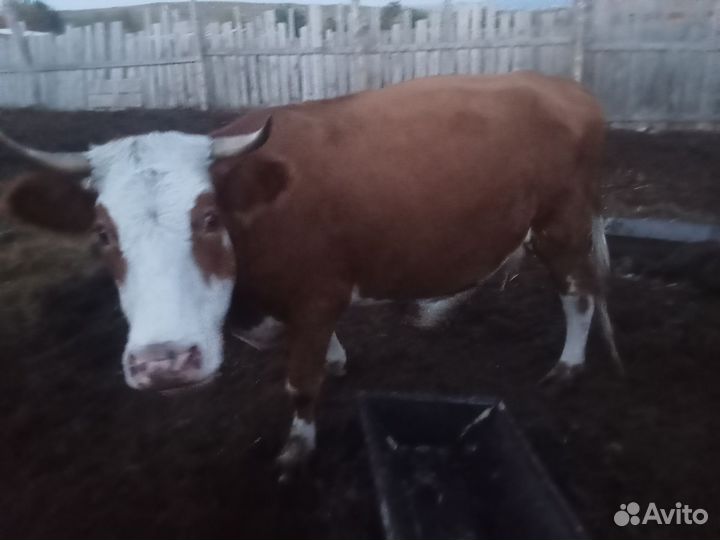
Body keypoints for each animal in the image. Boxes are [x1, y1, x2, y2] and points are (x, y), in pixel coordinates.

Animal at [1, 72, 621, 472]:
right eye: (102, 234)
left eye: (208, 218)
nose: (165, 363)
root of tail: (565, 88)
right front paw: (338, 359)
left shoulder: (318, 292)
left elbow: (300, 380)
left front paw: (298, 447)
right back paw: (440, 309)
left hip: (561, 224)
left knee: (579, 293)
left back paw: (568, 366)